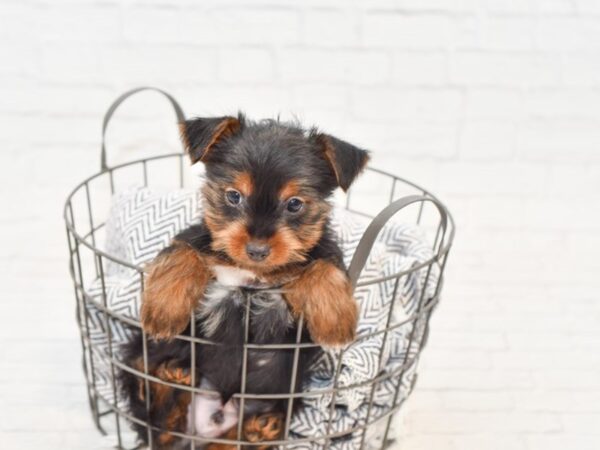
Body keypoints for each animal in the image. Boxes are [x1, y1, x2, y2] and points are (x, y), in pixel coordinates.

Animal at [119, 114, 368, 448]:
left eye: (294, 204)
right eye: (234, 196)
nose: (257, 250)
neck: (253, 272)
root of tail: (200, 431)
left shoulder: (318, 255)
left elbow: (325, 264)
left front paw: (334, 319)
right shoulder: (201, 239)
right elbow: (184, 250)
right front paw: (164, 308)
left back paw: (260, 428)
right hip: (147, 358)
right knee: (152, 406)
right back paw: (169, 377)